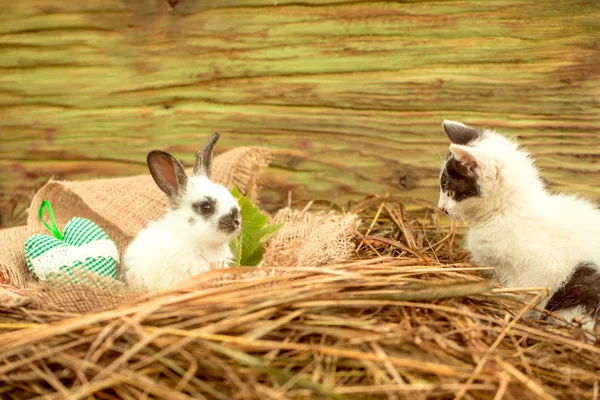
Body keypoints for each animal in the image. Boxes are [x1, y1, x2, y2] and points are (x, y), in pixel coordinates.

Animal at [436, 119, 600, 332]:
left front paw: (509, 308)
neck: (506, 211)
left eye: (452, 192)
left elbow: (526, 291)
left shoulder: (546, 264)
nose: (440, 208)